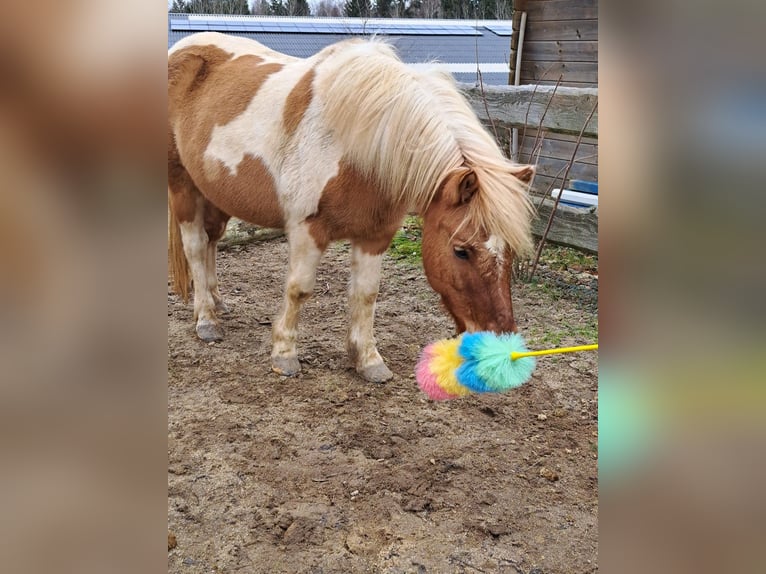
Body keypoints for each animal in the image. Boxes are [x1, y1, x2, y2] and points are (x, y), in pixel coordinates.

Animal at [170, 31, 536, 382]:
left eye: (511, 252)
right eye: (461, 250)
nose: (500, 346)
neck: (355, 144)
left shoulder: (376, 236)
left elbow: (366, 295)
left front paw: (368, 361)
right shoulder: (307, 230)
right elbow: (299, 289)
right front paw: (284, 356)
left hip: (215, 195)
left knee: (211, 242)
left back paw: (217, 302)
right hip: (184, 188)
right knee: (195, 248)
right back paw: (206, 320)